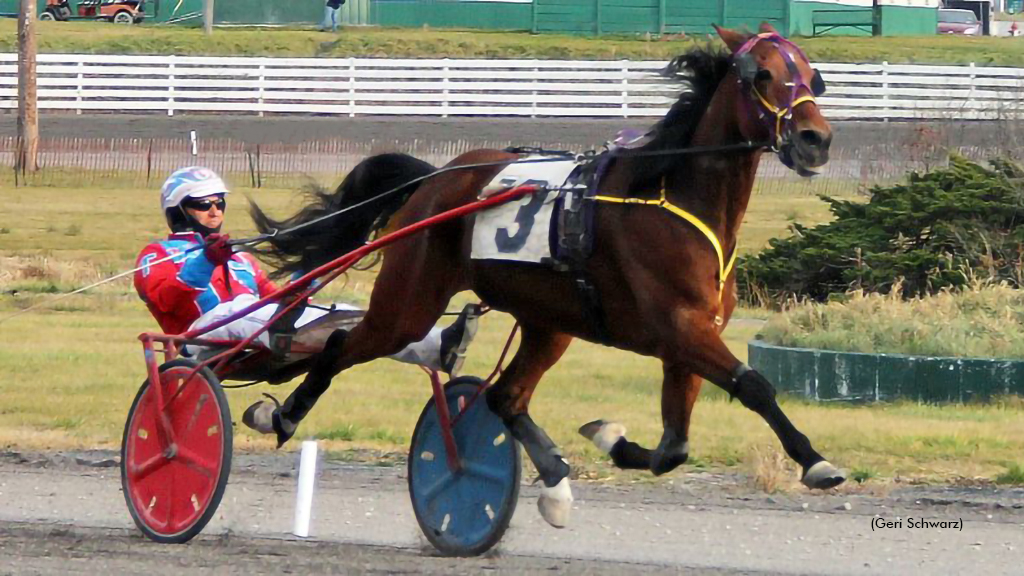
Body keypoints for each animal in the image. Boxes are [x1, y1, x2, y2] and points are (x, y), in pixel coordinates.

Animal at [243, 24, 843, 528]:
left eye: (813, 74)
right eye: (762, 74)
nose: (816, 139)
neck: (671, 195)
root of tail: (434, 179)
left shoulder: (690, 335)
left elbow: (674, 447)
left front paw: (611, 438)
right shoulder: (679, 328)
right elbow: (755, 386)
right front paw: (816, 462)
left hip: (548, 321)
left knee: (505, 398)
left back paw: (555, 482)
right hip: (409, 303)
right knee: (344, 343)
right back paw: (283, 415)